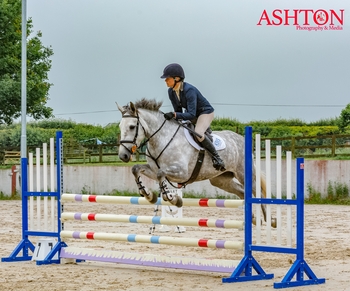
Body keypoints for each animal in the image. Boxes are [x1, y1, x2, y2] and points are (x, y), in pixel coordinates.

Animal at [117, 98, 276, 228]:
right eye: (119, 127)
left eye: (132, 126)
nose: (123, 156)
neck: (162, 138)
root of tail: (241, 138)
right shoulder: (152, 169)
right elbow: (136, 169)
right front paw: (149, 195)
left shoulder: (182, 173)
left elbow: (161, 175)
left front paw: (174, 200)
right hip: (221, 180)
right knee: (242, 192)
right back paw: (254, 219)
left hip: (244, 174)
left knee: (257, 192)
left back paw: (270, 220)